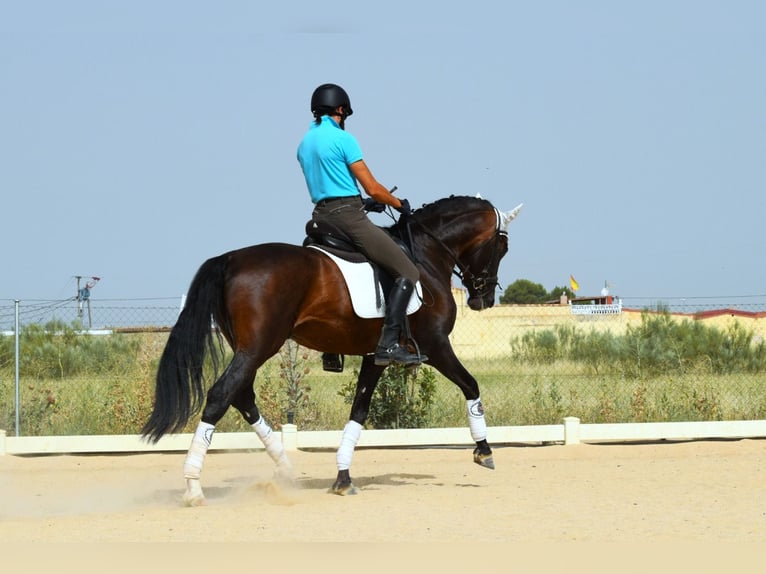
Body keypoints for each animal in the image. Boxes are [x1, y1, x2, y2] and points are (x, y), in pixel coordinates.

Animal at [140, 196, 520, 506]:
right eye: (501, 247)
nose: (483, 299)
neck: (426, 255)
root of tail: (230, 258)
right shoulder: (435, 344)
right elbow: (470, 384)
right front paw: (483, 450)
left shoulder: (375, 355)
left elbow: (359, 410)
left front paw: (342, 477)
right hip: (258, 347)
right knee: (221, 395)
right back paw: (193, 486)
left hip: (249, 349)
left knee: (242, 397)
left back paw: (285, 469)